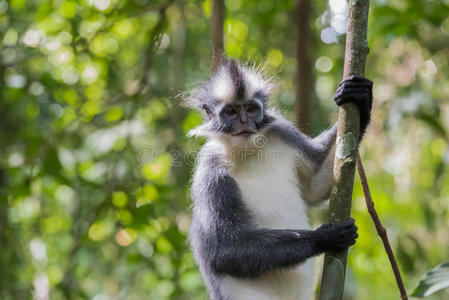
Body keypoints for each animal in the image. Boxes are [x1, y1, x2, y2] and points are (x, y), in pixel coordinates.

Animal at [184, 57, 372, 298]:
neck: (248, 153)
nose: (244, 122)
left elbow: (313, 187)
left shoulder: (282, 133)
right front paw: (325, 237)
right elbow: (222, 247)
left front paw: (361, 97)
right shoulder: (210, 172)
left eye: (251, 109)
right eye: (231, 112)